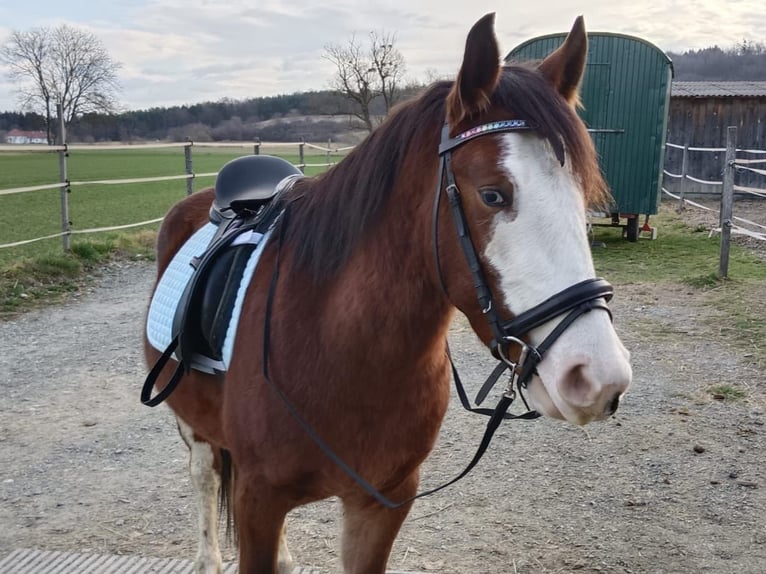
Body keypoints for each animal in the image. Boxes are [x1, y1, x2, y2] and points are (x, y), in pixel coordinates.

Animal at [143, 13, 632, 574]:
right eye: (492, 194)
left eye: (584, 195)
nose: (598, 376)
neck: (339, 348)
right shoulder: (260, 500)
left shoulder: (381, 503)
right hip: (194, 427)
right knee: (204, 476)